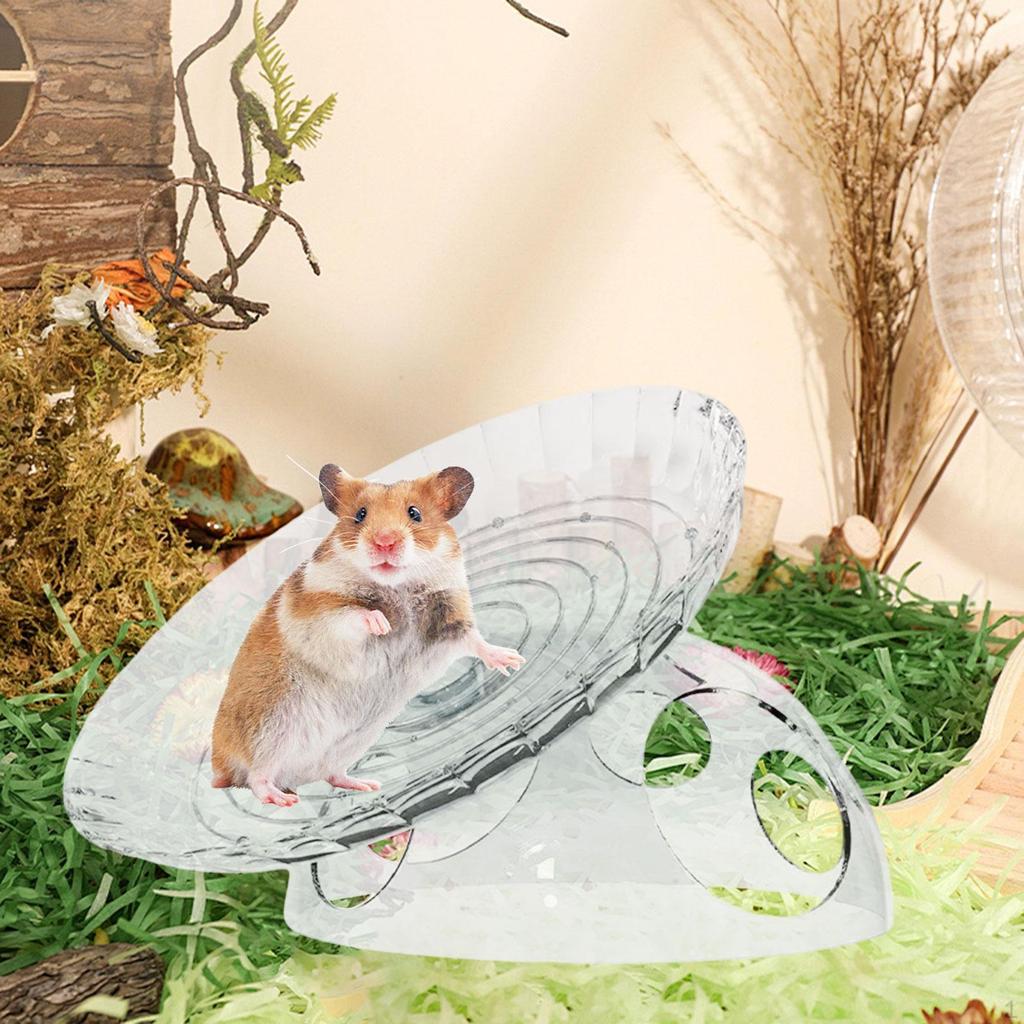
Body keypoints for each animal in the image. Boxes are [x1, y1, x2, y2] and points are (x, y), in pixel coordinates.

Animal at [210, 463, 524, 807]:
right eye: (360, 515)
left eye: (415, 513)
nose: (384, 542)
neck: (397, 586)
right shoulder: (319, 615)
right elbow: (352, 615)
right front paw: (382, 623)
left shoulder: (449, 617)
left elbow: (474, 640)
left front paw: (512, 661)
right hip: (269, 729)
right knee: (256, 777)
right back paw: (283, 799)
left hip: (350, 743)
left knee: (331, 775)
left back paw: (367, 785)